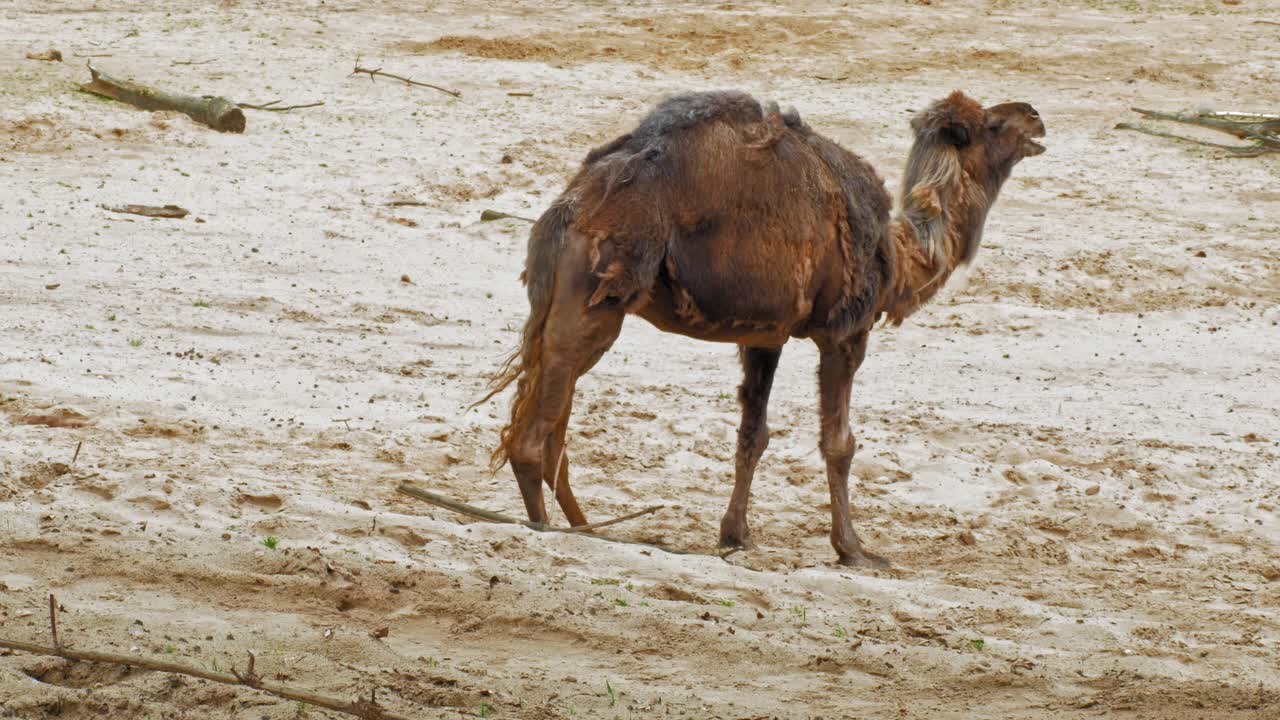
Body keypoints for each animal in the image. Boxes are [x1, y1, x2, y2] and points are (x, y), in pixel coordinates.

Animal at [477, 90, 1045, 567]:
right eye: (992, 124)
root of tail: (569, 208)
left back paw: (586, 527)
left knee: (552, 417)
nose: (1034, 115)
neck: (896, 256)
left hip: (573, 302)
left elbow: (753, 434)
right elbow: (838, 443)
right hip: (596, 299)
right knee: (536, 432)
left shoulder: (763, 335)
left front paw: (736, 535)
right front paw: (854, 550)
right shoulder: (846, 330)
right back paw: (548, 528)